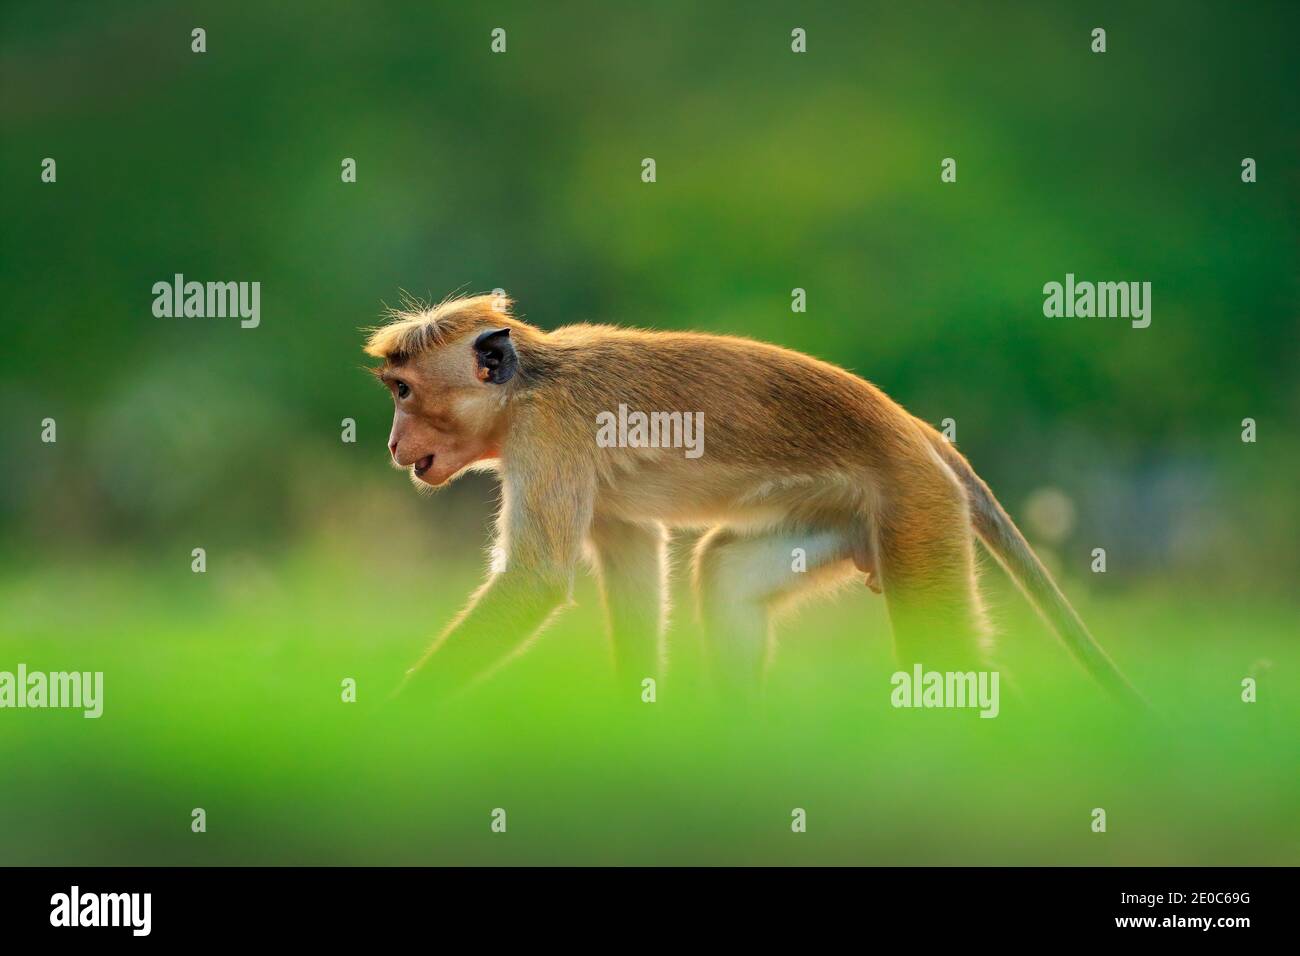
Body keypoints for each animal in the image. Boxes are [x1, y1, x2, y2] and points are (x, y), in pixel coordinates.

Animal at [365, 292, 1143, 708]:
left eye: (404, 392)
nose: (394, 444)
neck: (530, 383)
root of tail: (917, 432)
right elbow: (630, 555)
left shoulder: (546, 437)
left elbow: (535, 581)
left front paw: (393, 713)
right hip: (847, 517)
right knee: (726, 574)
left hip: (914, 507)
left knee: (941, 654)